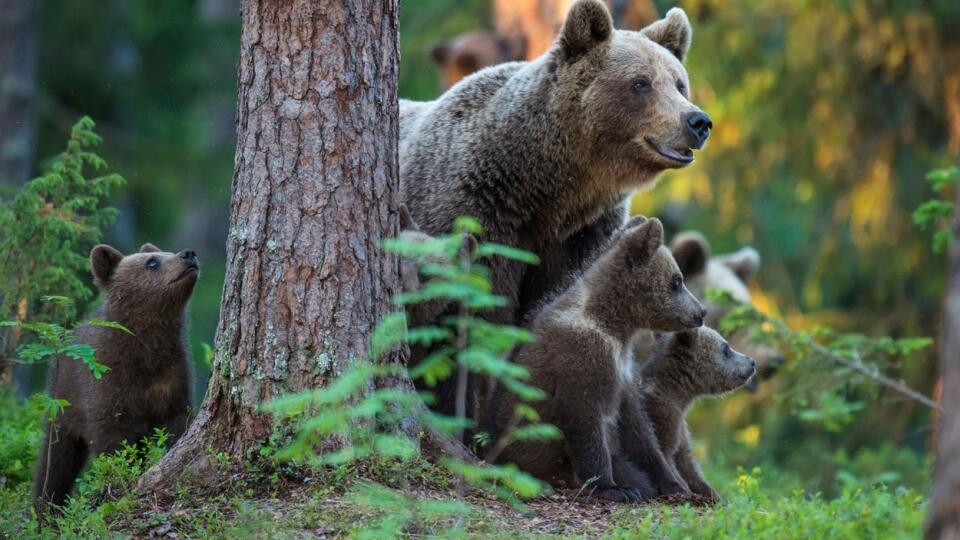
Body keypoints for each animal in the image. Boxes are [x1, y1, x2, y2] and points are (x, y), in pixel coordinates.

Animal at [32, 243, 198, 512]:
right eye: (152, 262)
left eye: (165, 253)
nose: (188, 254)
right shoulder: (108, 380)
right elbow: (113, 439)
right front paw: (116, 479)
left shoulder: (172, 374)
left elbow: (175, 421)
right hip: (63, 402)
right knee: (55, 459)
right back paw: (46, 508)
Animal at [402, 0, 708, 420]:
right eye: (640, 83)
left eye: (679, 83)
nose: (698, 121)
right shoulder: (475, 214)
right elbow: (469, 324)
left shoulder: (580, 236)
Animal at [488, 218, 704, 502]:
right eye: (677, 281)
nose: (701, 312)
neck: (615, 325)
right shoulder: (582, 354)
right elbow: (584, 417)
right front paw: (613, 488)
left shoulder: (624, 369)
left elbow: (639, 430)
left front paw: (674, 484)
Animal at [636, 324, 756, 498]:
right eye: (726, 348)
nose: (752, 362)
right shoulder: (662, 413)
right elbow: (668, 457)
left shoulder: (681, 428)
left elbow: (689, 466)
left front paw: (716, 496)